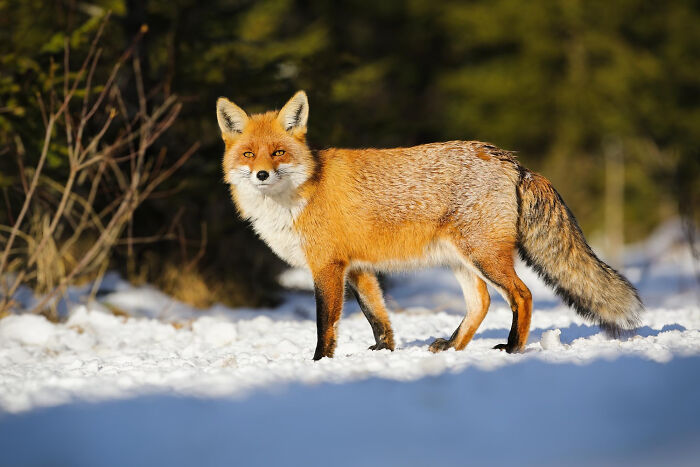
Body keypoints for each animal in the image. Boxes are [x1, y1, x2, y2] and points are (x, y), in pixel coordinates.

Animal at [216, 90, 643, 360]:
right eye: (249, 154)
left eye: (278, 153)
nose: (261, 175)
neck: (301, 194)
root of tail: (511, 161)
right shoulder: (358, 268)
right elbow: (377, 316)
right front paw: (383, 353)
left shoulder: (327, 267)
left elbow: (326, 324)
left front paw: (320, 361)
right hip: (460, 260)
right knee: (481, 302)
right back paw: (452, 348)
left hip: (483, 256)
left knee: (521, 295)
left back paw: (512, 348)